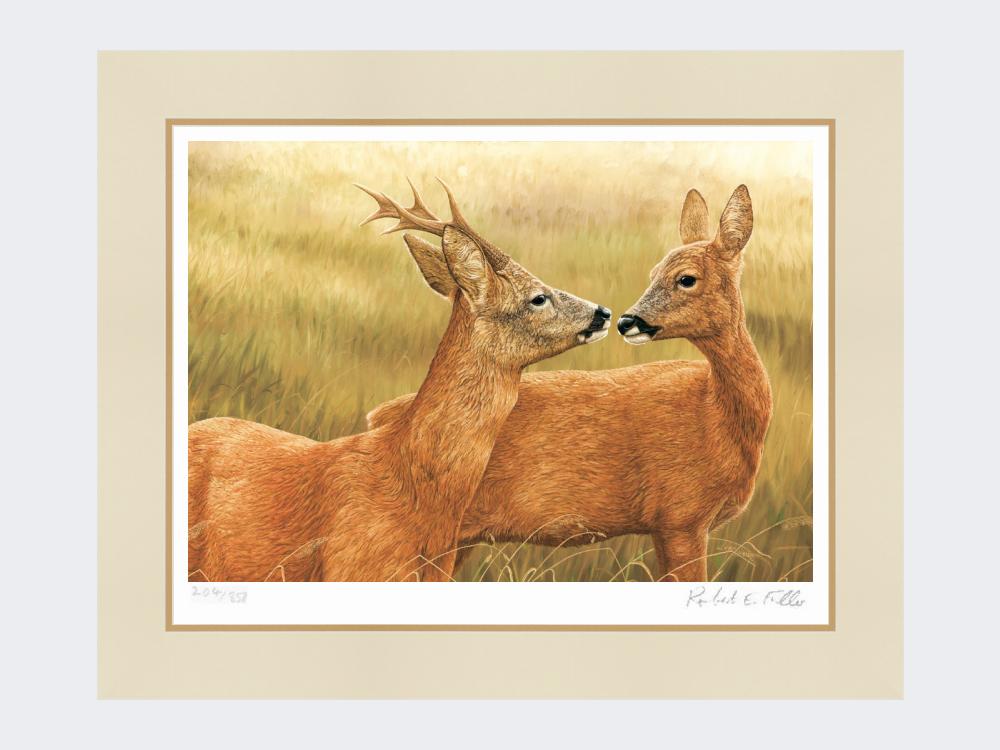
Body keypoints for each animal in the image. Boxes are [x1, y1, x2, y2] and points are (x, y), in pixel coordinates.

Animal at [367, 185, 772, 582]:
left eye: (685, 278)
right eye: (654, 273)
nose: (625, 320)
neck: (715, 411)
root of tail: (377, 419)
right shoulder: (679, 515)